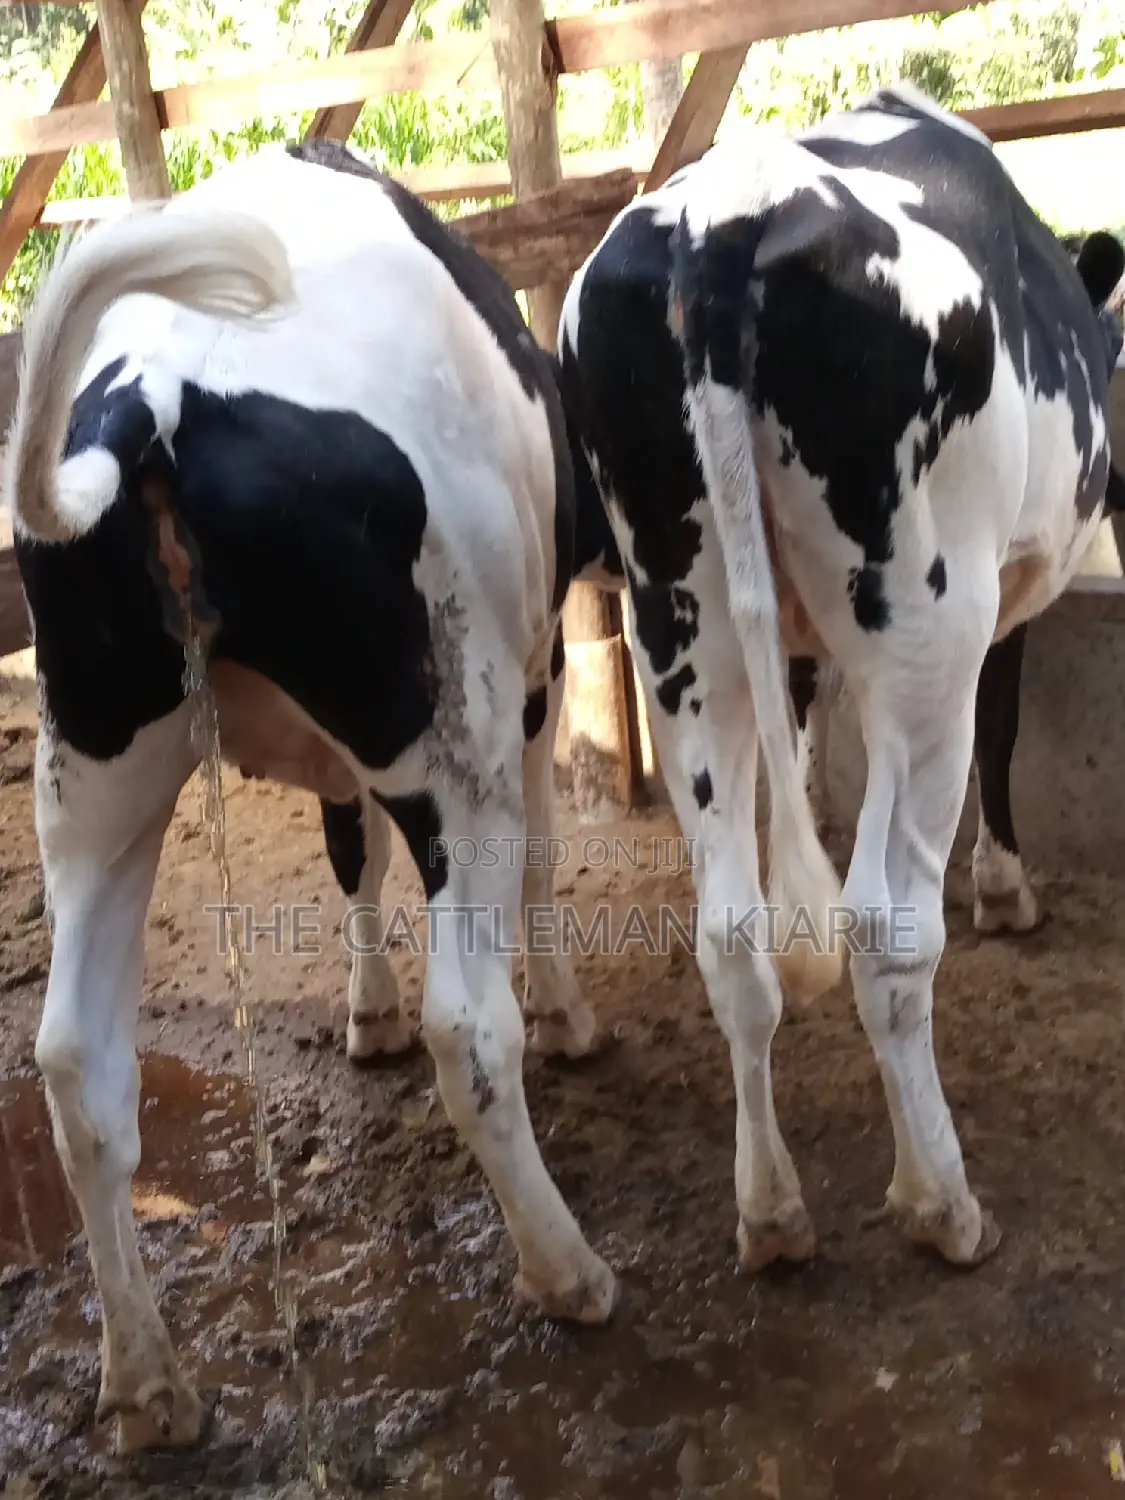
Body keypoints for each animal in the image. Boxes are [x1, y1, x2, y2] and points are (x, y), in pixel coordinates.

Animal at [3, 139, 622, 1453]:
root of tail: (156, 398)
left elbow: (350, 854)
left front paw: (363, 1010)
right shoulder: (531, 680)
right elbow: (537, 860)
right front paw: (565, 1015)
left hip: (93, 773)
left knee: (78, 1062)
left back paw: (146, 1382)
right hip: (453, 731)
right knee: (469, 1026)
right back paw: (567, 1270)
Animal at [559, 82, 1125, 1275]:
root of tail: (725, 216)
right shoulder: (1001, 597)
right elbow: (1003, 725)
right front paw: (1005, 887)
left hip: (678, 618)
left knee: (730, 932)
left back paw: (770, 1212)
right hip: (925, 623)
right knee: (884, 930)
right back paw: (941, 1202)